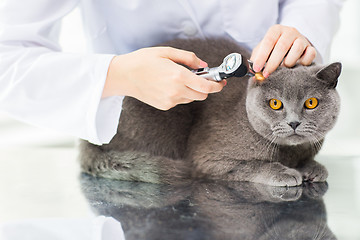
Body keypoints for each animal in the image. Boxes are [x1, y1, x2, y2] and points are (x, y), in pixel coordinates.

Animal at [78, 38, 340, 187]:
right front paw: (285, 173)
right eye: (275, 104)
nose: (294, 123)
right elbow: (252, 165)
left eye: (311, 103)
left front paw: (313, 168)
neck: (288, 153)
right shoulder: (208, 159)